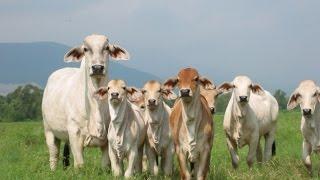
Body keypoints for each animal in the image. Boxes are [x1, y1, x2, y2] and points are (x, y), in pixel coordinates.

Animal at [42, 34, 130, 170]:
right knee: (54, 155)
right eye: (85, 49)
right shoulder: (75, 133)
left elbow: (105, 165)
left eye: (106, 48)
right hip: (49, 131)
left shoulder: (107, 139)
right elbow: (79, 164)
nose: (97, 68)